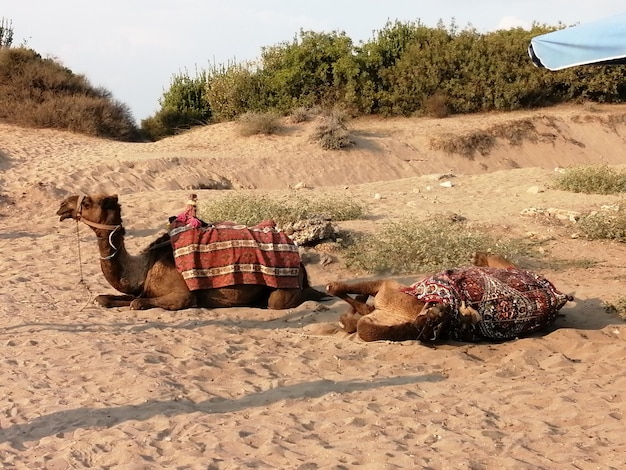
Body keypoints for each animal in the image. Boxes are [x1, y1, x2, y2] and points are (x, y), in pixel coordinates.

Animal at [56, 193, 326, 310]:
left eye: (88, 202)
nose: (62, 205)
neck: (146, 266)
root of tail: (301, 264)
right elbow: (104, 299)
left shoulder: (183, 295)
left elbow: (137, 303)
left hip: (284, 290)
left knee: (283, 301)